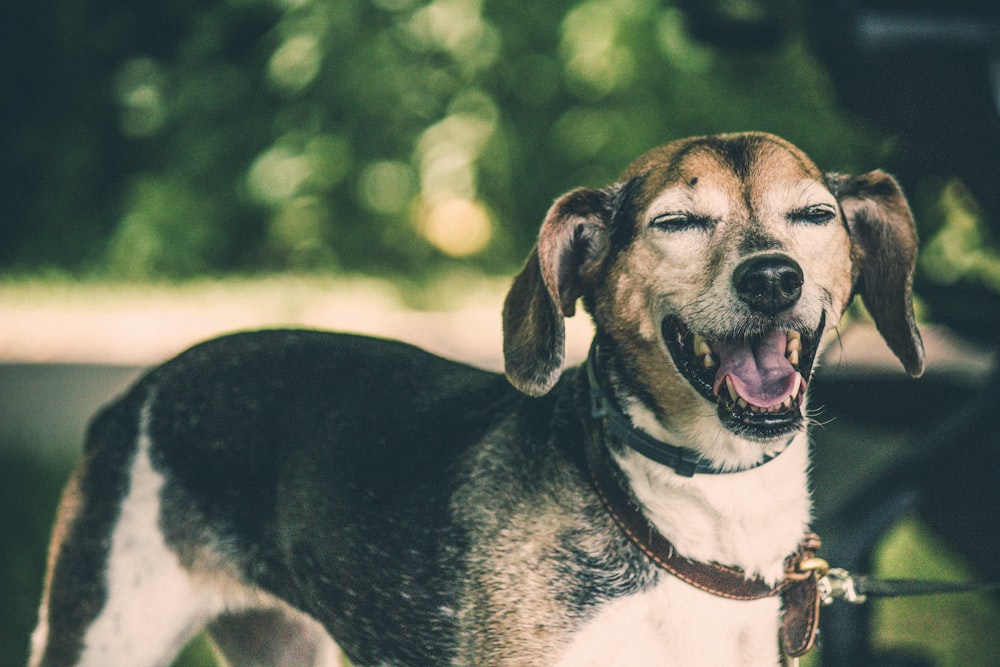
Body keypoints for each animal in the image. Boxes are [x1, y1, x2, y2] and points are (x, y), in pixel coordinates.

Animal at [29, 132, 920, 667]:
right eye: (676, 222)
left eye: (814, 214)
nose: (773, 277)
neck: (694, 514)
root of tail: (139, 392)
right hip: (101, 632)